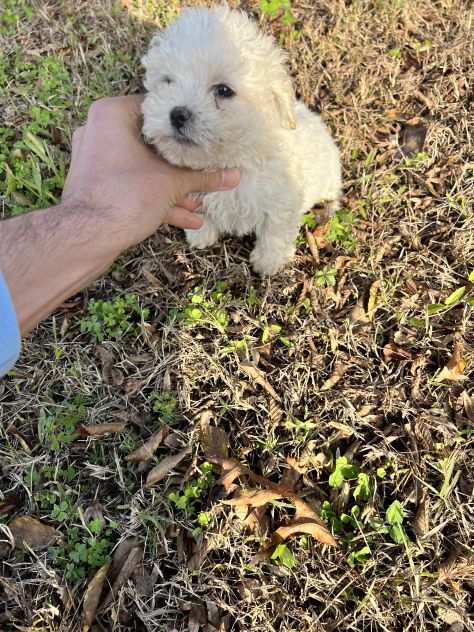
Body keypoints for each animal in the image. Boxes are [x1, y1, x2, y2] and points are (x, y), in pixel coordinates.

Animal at [141, 4, 340, 276]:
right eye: (168, 81)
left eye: (224, 90)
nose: (177, 114)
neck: (232, 159)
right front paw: (201, 235)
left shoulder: (282, 203)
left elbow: (275, 232)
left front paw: (268, 262)